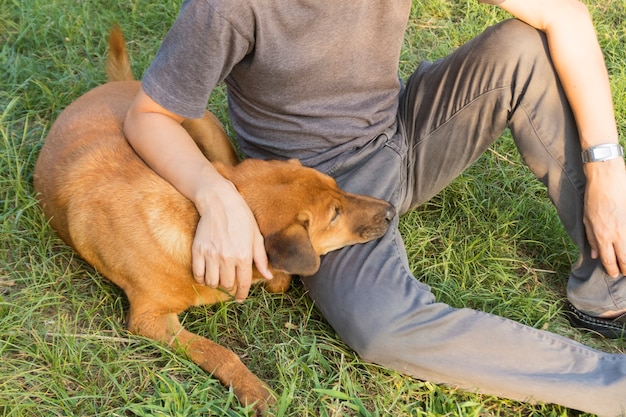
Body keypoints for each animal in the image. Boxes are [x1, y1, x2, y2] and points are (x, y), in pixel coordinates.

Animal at [31, 28, 392, 412]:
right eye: (335, 214)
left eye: (338, 188)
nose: (390, 210)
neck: (194, 223)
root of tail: (120, 83)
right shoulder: (148, 320)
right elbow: (218, 352)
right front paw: (254, 390)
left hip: (204, 126)